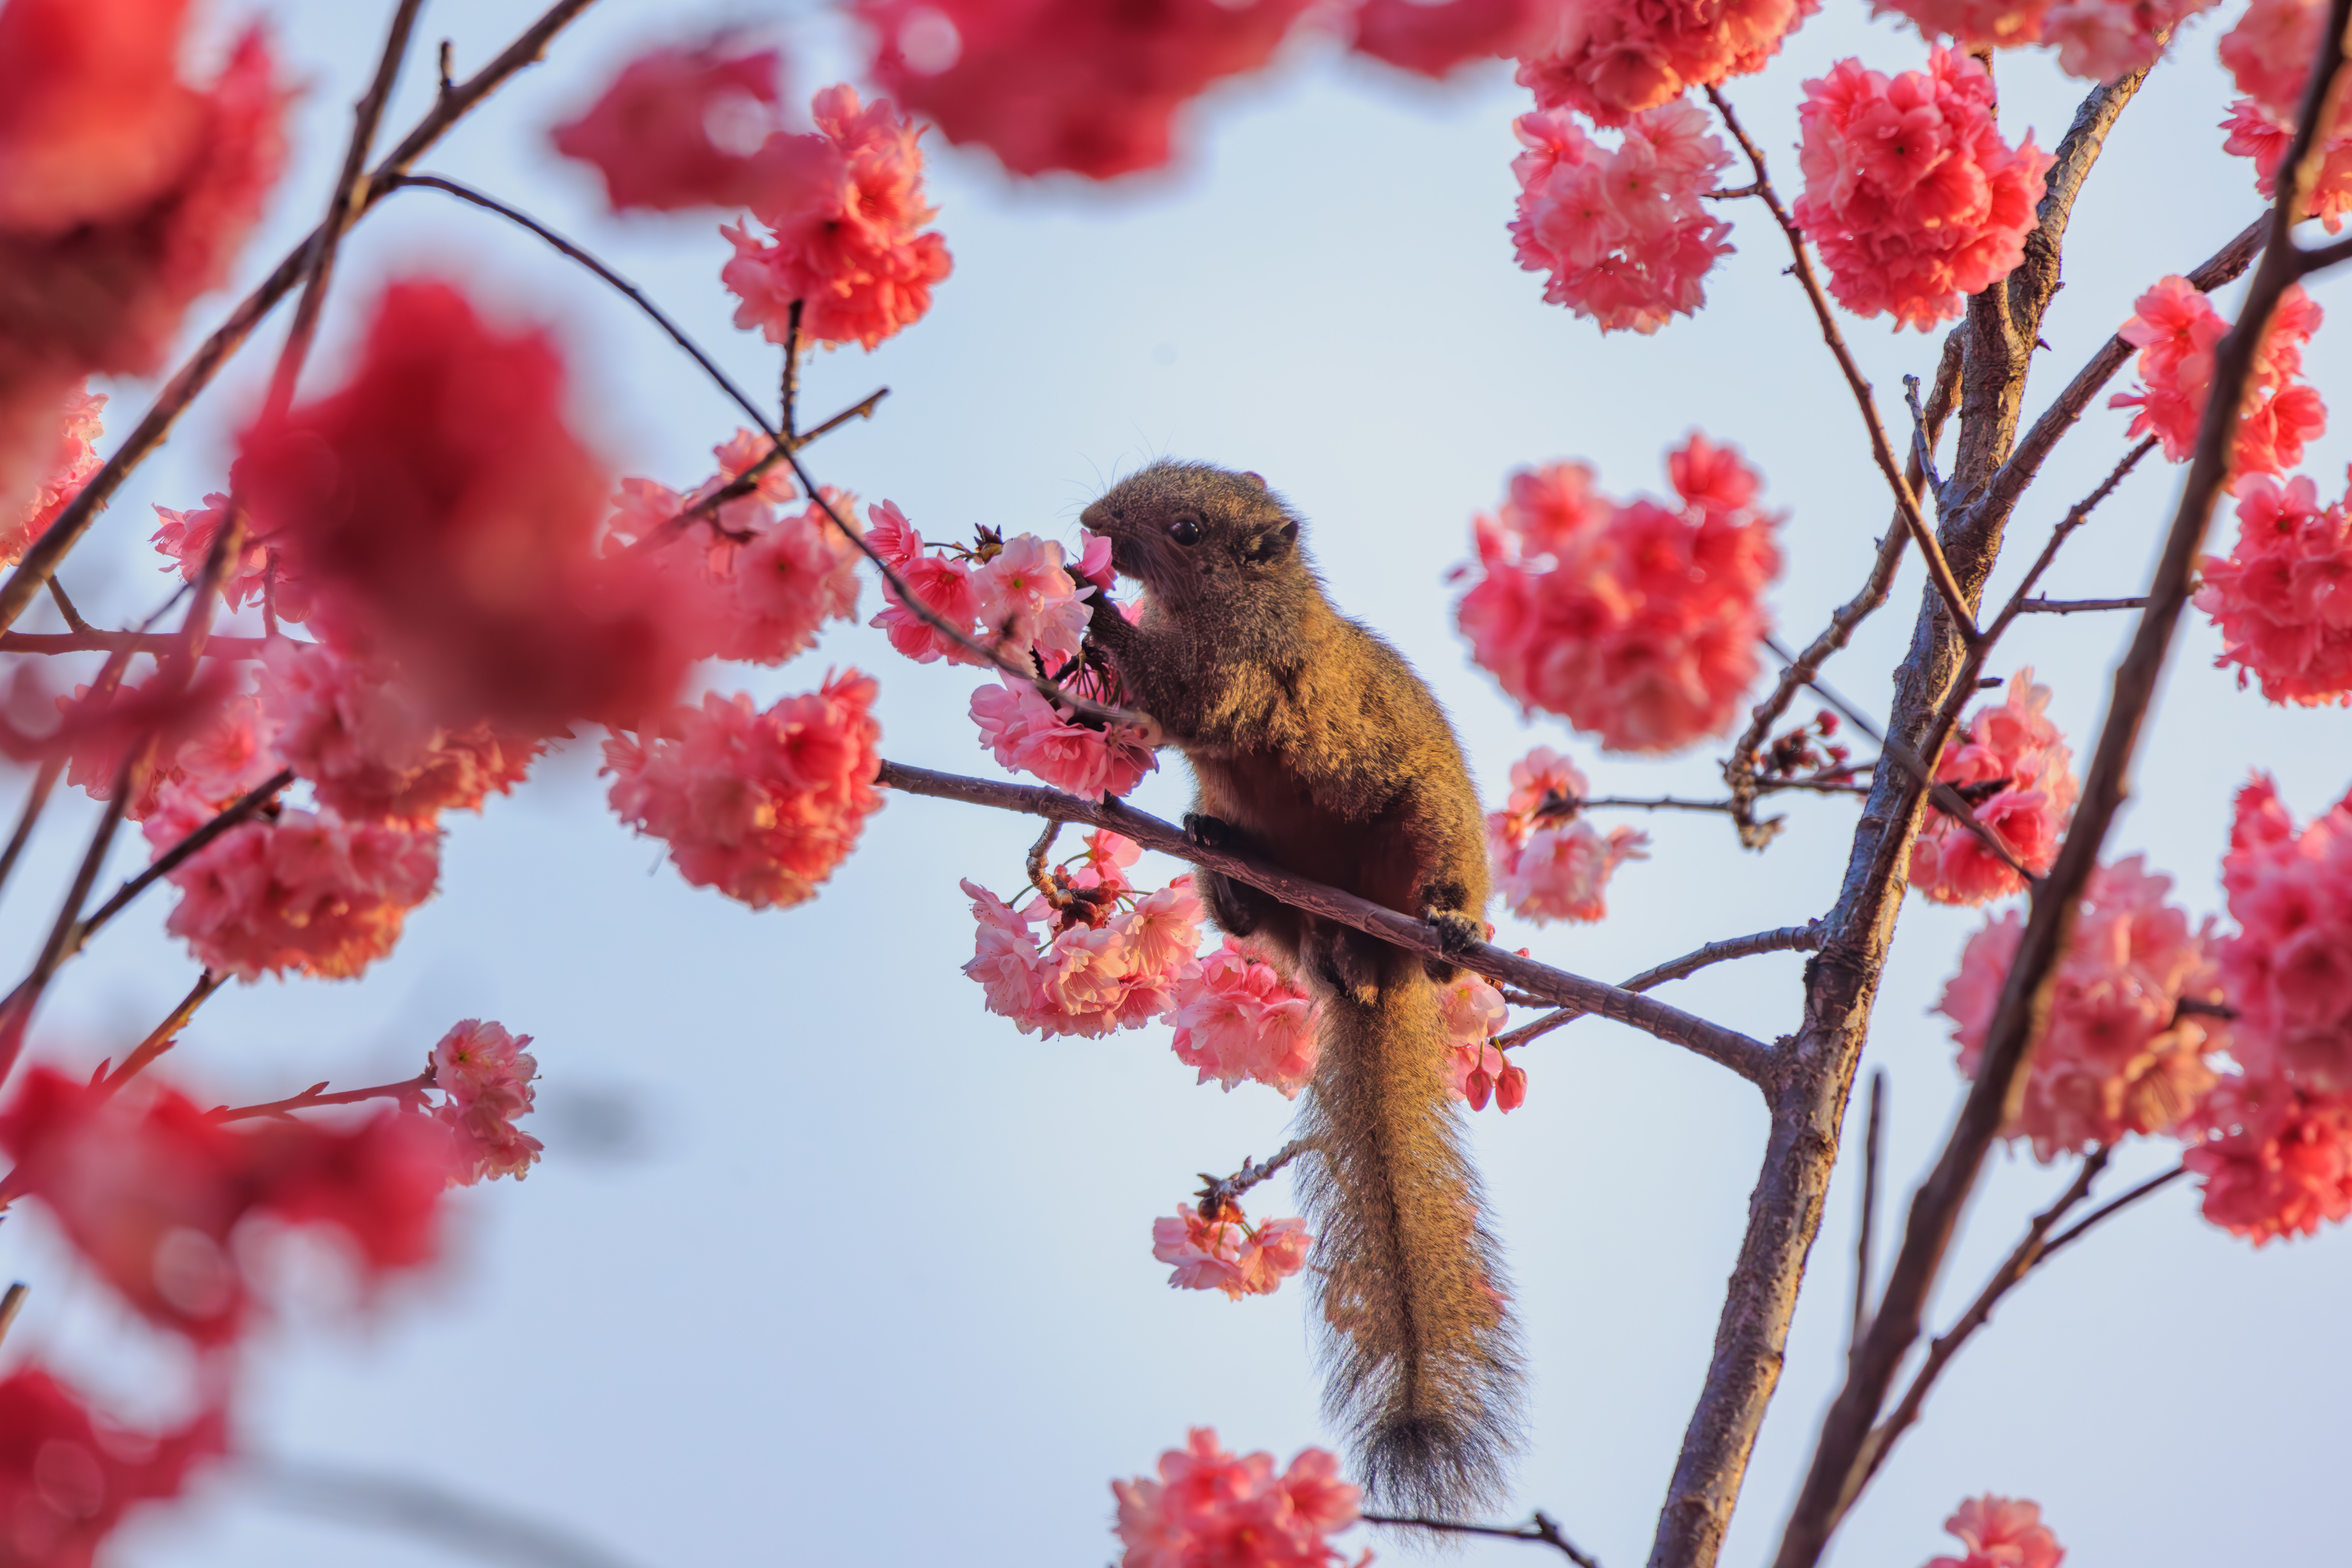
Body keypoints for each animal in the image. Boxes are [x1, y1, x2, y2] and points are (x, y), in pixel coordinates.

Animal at [1079, 460, 1523, 1515]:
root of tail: (1366, 964)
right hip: (1284, 889)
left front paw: (1095, 614)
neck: (1251, 600)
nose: (1087, 525)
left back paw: (1449, 930)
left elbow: (1188, 696)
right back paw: (1227, 868)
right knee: (1257, 914)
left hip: (1426, 829)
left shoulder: (1245, 669)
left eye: (1186, 529)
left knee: (1437, 897)